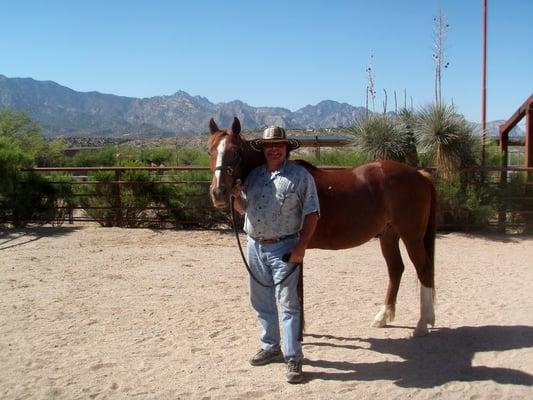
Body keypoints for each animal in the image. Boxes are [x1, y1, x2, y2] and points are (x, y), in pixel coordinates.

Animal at [208, 117, 436, 336]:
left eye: (236, 151)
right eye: (210, 150)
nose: (219, 192)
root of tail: (420, 174)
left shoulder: (293, 252)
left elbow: (296, 291)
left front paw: (298, 332)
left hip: (411, 236)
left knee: (423, 268)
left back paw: (422, 324)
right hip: (388, 235)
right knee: (396, 269)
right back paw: (383, 317)